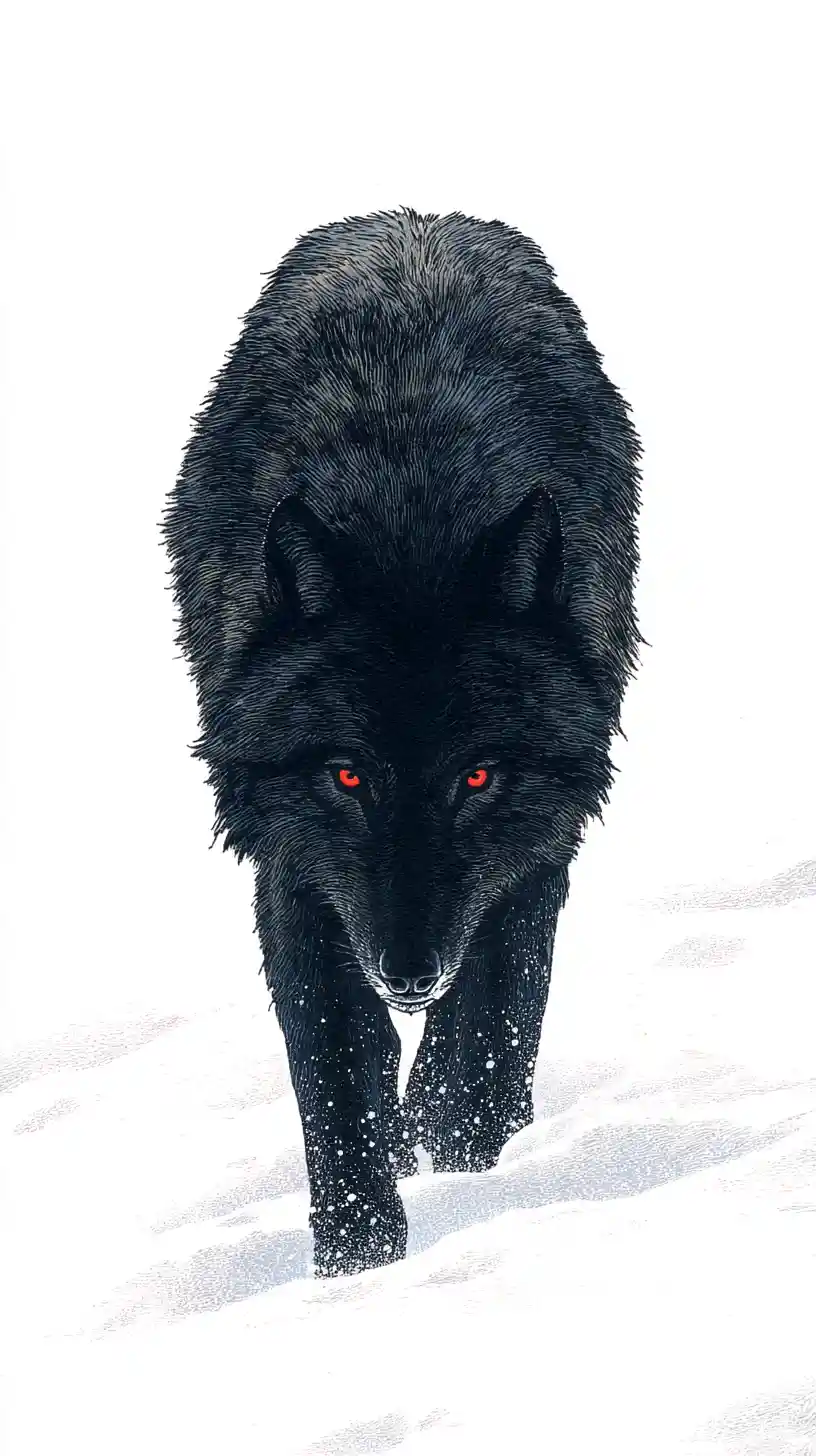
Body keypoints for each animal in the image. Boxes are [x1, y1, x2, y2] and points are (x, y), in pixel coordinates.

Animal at [164, 208, 641, 1277]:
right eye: (348, 776)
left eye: (478, 775)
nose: (409, 973)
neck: (409, 515)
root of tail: (416, 215)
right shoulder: (299, 864)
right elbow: (338, 1069)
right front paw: (358, 1269)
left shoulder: (537, 835)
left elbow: (498, 1013)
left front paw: (463, 1152)